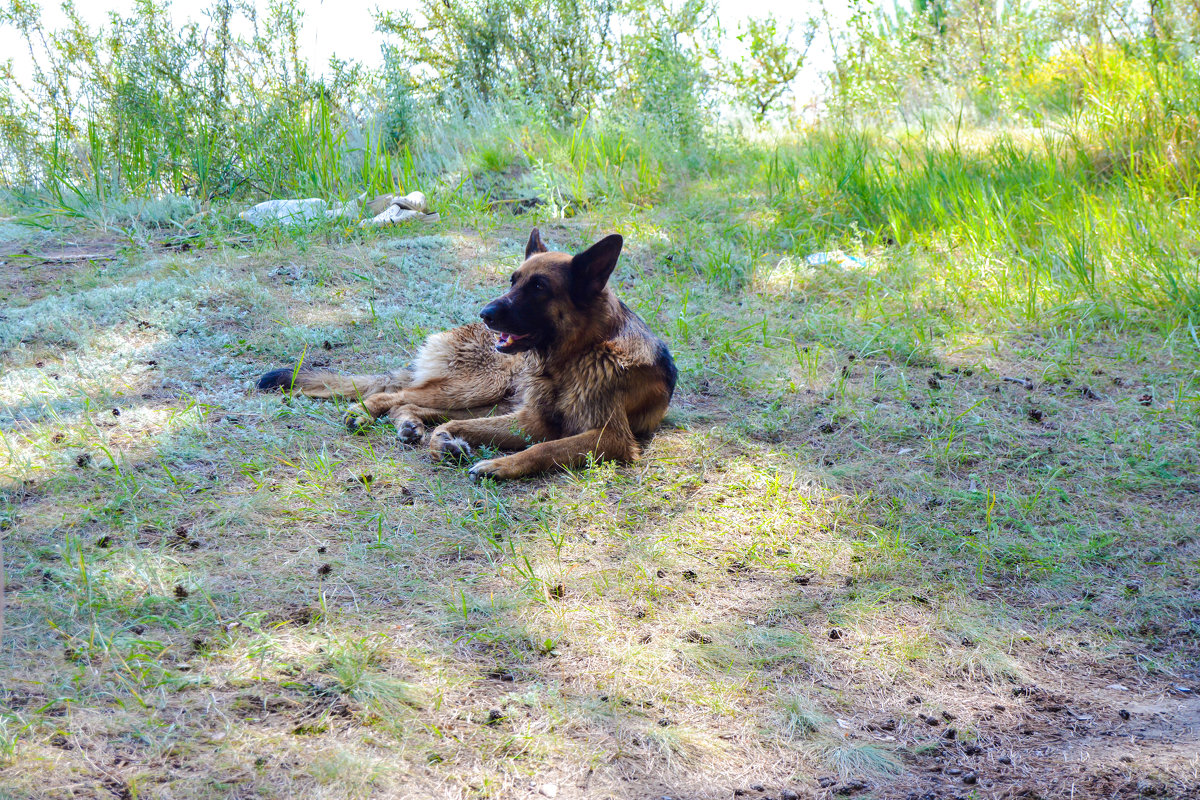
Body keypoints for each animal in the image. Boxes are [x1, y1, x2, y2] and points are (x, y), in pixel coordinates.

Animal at [256, 230, 676, 482]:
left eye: (539, 287)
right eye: (513, 280)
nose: (486, 314)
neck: (572, 358)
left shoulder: (609, 437)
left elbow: (545, 447)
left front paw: (494, 462)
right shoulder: (533, 418)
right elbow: (465, 428)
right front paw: (446, 443)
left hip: (487, 393)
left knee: (410, 404)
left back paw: (409, 425)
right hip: (482, 386)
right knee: (397, 395)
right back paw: (367, 413)